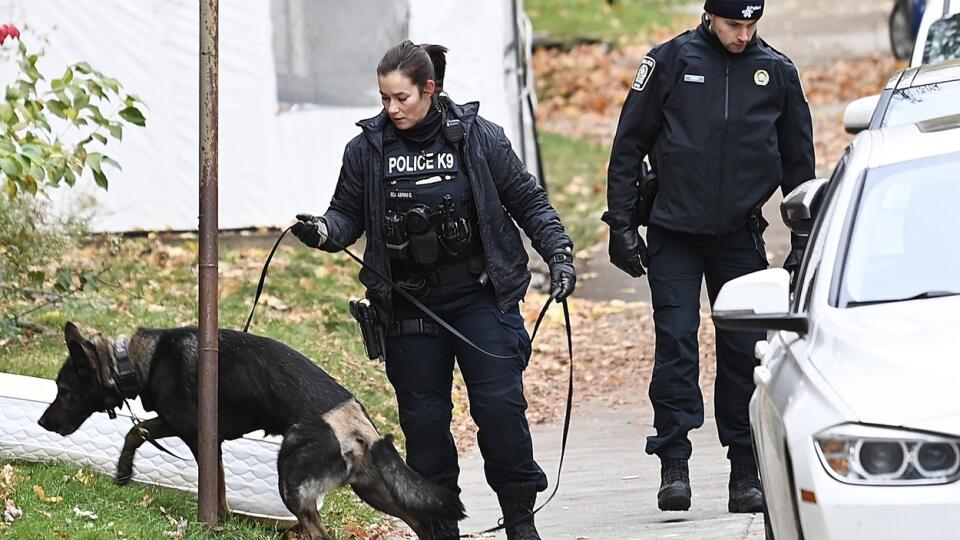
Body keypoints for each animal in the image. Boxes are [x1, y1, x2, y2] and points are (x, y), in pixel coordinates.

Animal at [39, 322, 466, 536]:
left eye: (63, 390)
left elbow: (146, 436)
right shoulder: (191, 432)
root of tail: (355, 421)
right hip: (371, 489)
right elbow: (140, 432)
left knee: (319, 532)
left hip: (292, 483)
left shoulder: (194, 434)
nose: (43, 422)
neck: (134, 361)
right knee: (420, 518)